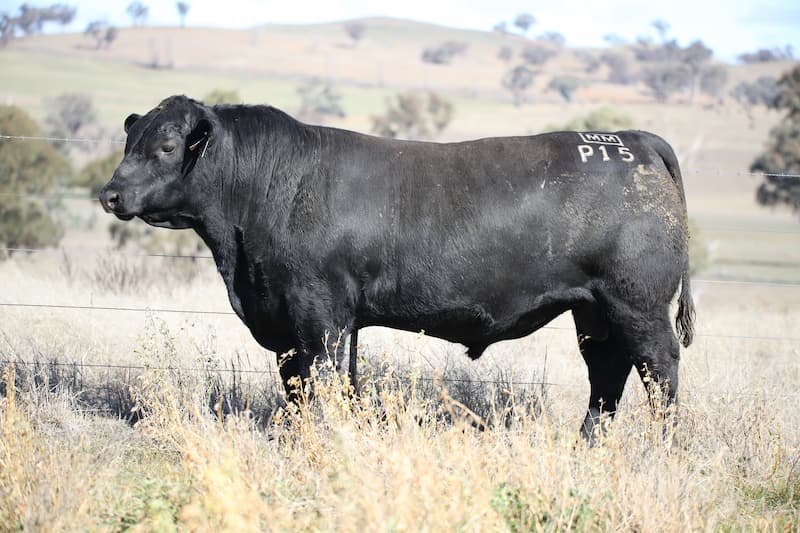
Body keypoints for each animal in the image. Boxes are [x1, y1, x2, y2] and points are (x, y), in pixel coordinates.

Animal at [97, 95, 692, 436]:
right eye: (129, 141)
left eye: (166, 146)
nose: (110, 195)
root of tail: (633, 139)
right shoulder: (292, 320)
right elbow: (299, 385)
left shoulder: (319, 312)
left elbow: (324, 381)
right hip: (593, 311)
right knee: (607, 374)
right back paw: (587, 445)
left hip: (636, 302)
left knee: (659, 370)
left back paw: (662, 444)